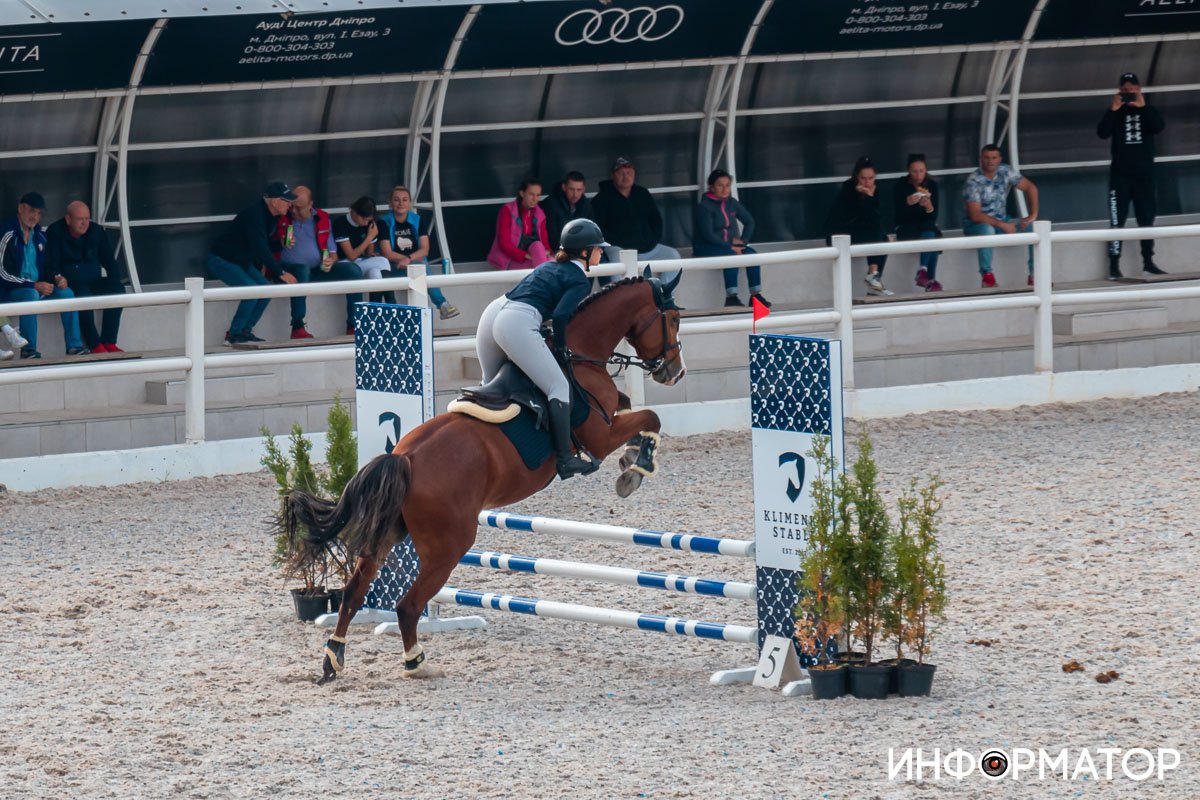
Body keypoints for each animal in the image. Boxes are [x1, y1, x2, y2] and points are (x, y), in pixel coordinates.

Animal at [285, 273, 686, 685]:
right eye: (672, 318)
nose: (674, 371)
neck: (579, 355)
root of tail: (404, 457)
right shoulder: (599, 436)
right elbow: (650, 417)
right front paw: (636, 467)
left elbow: (631, 406)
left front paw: (633, 456)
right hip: (449, 545)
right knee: (407, 604)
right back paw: (417, 664)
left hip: (389, 532)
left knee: (354, 591)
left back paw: (333, 659)